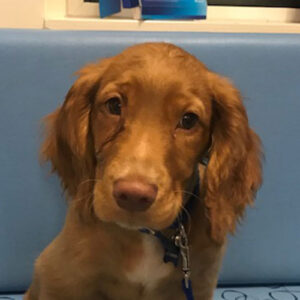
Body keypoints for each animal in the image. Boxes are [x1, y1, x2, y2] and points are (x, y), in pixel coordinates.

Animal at [24, 42, 262, 300]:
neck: (144, 236)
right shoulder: (61, 277)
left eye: (189, 120)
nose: (133, 195)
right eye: (114, 105)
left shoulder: (197, 284)